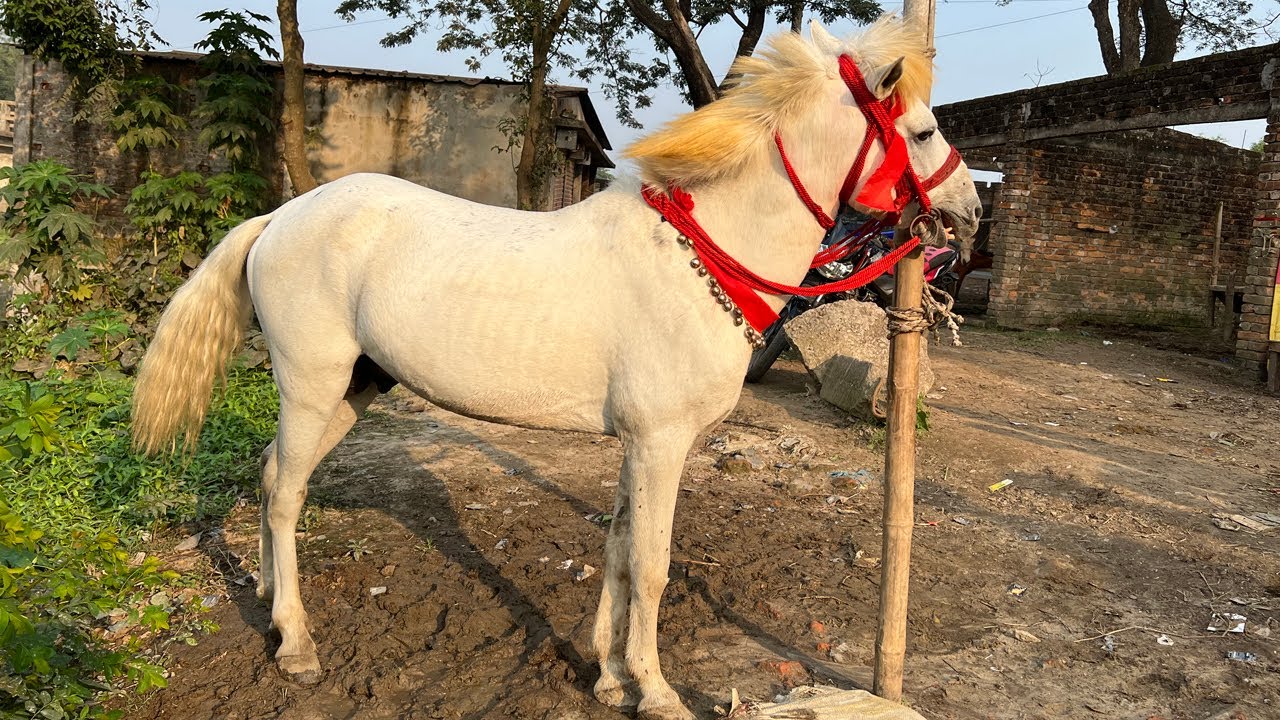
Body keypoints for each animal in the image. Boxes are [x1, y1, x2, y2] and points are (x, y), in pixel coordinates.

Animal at [131, 17, 981, 719]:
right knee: (285, 498)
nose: (970, 213)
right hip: (311, 386)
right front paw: (657, 692)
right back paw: (299, 646)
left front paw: (608, 678)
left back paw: (268, 603)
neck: (698, 257)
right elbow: (652, 564)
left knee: (272, 473)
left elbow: (617, 547)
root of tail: (281, 216)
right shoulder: (662, 443)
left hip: (352, 391)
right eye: (922, 129)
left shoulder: (638, 444)